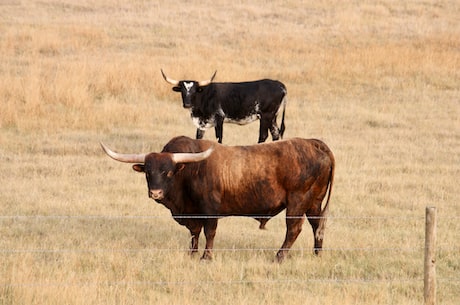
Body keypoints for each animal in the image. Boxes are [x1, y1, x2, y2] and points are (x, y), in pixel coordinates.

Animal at [99, 135, 334, 262]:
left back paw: (279, 257)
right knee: (317, 225)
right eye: (148, 172)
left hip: (297, 202)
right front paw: (192, 254)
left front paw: (206, 257)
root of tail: (314, 144)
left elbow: (209, 232)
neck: (190, 171)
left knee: (294, 228)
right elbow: (194, 233)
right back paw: (317, 253)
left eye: (169, 172)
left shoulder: (210, 210)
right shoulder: (192, 214)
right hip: (314, 202)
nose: (155, 193)